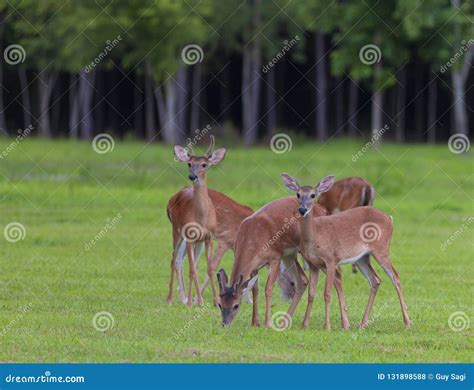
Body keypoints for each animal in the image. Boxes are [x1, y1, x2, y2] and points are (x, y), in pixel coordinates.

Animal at [167, 137, 226, 308]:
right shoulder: (189, 236)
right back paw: (171, 299)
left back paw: (192, 299)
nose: (192, 176)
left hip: (197, 242)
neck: (201, 218)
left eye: (204, 164)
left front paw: (216, 301)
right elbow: (192, 269)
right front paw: (193, 302)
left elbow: (209, 268)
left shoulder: (209, 237)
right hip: (176, 231)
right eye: (189, 163)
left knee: (187, 263)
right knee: (174, 259)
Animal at [215, 197, 352, 328]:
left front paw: (268, 324)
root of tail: (323, 209)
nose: (224, 324)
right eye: (220, 304)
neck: (252, 239)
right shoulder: (255, 267)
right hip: (290, 255)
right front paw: (255, 322)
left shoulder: (275, 256)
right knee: (303, 280)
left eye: (236, 305)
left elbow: (268, 289)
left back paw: (345, 324)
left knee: (337, 274)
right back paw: (287, 320)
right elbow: (255, 289)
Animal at [282, 174, 412, 330]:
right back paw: (362, 323)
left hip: (381, 249)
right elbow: (311, 293)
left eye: (313, 195)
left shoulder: (331, 259)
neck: (315, 236)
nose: (302, 209)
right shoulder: (313, 264)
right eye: (298, 194)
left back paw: (407, 323)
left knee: (395, 277)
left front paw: (327, 326)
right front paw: (304, 325)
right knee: (375, 279)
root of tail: (389, 218)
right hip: (362, 257)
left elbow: (327, 293)